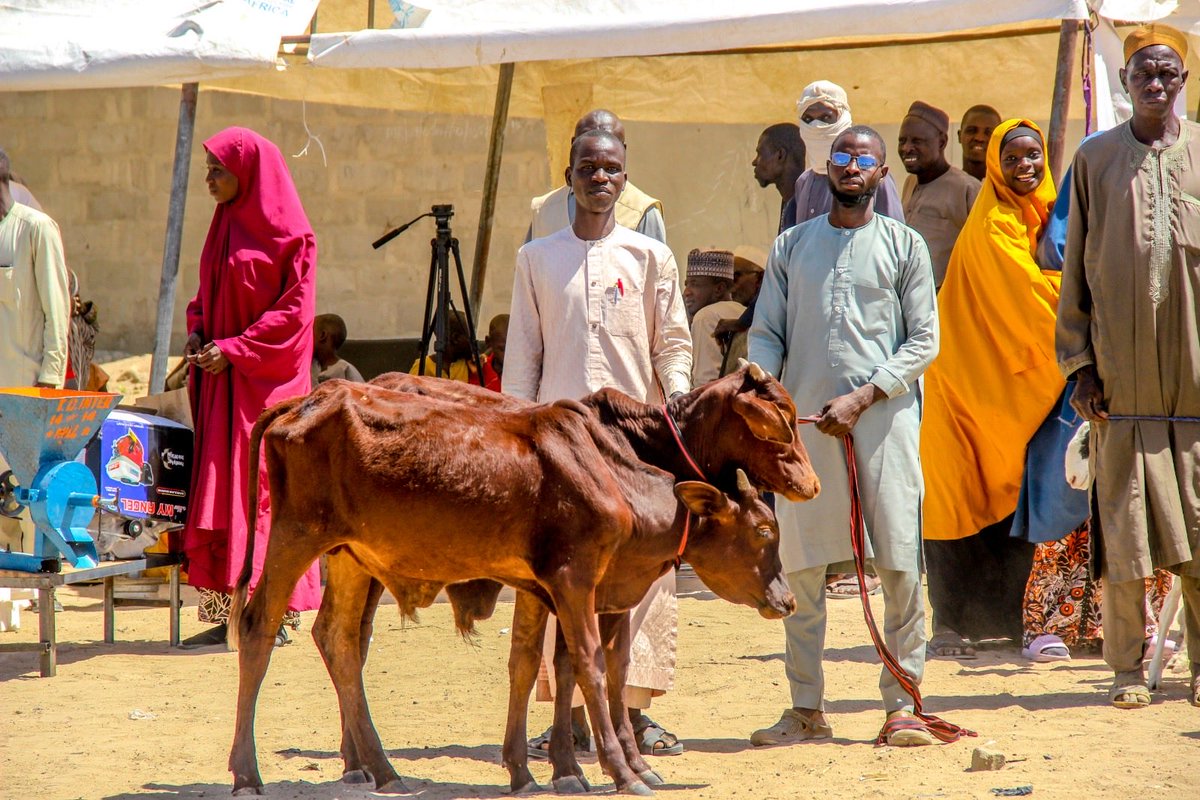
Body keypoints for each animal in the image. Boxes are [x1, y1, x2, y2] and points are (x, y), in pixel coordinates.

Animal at [226, 373, 812, 796]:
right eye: (764, 530)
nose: (785, 599)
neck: (618, 464)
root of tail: (307, 400)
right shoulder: (576, 581)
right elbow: (592, 667)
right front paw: (619, 769)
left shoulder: (550, 588)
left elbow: (536, 665)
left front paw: (539, 770)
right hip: (296, 536)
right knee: (259, 627)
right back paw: (249, 774)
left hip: (352, 557)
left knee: (343, 641)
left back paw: (378, 768)